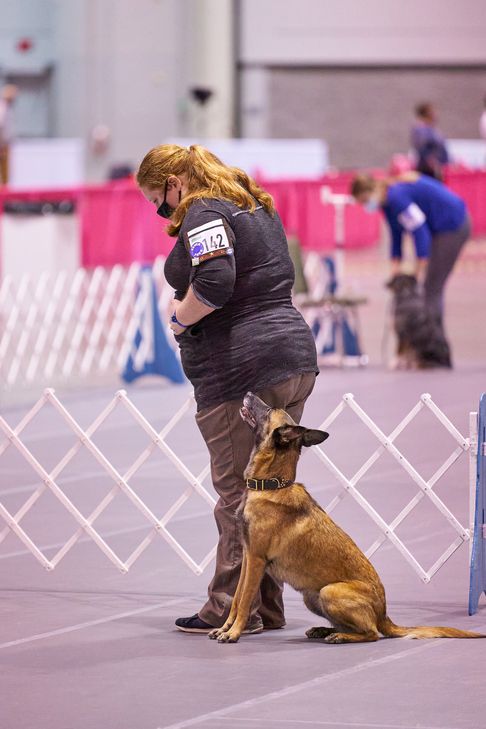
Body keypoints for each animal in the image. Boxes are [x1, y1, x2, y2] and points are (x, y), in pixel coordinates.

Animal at [208, 392, 482, 644]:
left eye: (268, 410)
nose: (247, 393)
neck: (271, 486)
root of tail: (384, 614)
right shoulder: (248, 556)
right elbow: (236, 598)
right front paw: (225, 628)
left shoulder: (256, 560)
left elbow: (244, 601)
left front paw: (233, 633)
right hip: (313, 597)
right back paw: (325, 630)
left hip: (330, 591)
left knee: (371, 634)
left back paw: (339, 636)